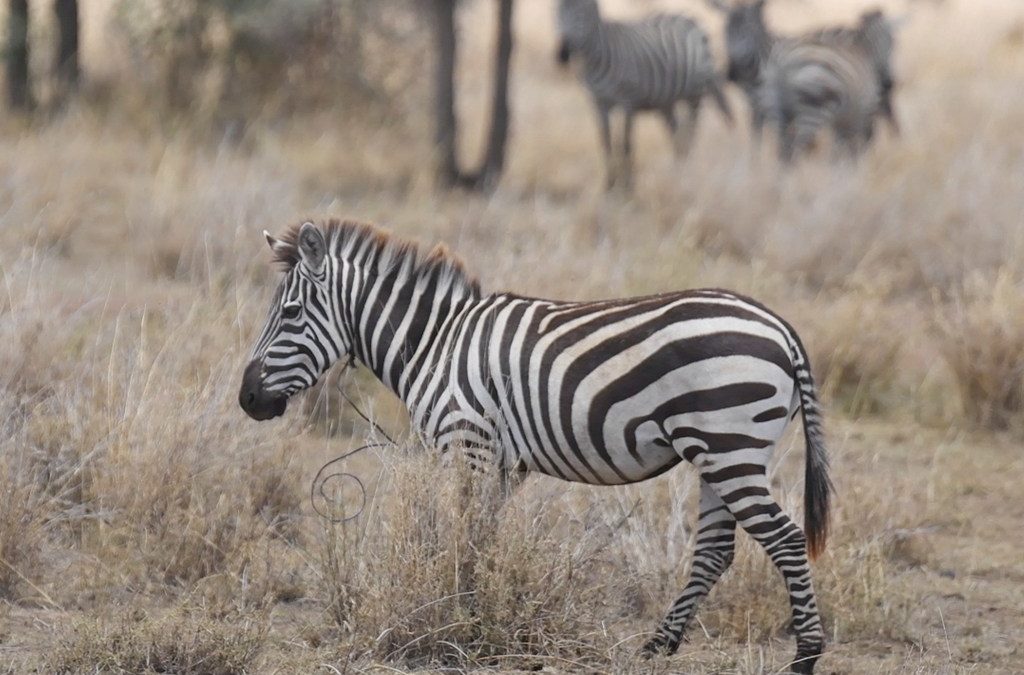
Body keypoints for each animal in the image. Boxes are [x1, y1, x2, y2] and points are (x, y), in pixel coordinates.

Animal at [243, 219, 835, 671]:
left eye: (290, 314)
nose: (248, 399)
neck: (435, 343)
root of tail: (780, 327)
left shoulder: (467, 443)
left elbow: (463, 536)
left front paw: (461, 617)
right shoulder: (504, 463)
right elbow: (482, 538)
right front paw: (477, 611)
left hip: (728, 446)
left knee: (785, 539)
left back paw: (805, 655)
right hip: (717, 453)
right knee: (715, 549)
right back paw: (657, 646)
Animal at [557, 0, 733, 188]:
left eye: (583, 12)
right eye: (558, 11)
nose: (563, 54)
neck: (593, 60)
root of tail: (688, 18)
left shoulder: (628, 102)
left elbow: (626, 144)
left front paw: (627, 186)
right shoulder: (598, 103)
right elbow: (606, 143)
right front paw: (609, 184)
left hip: (695, 94)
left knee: (690, 133)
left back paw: (687, 174)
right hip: (666, 101)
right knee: (676, 133)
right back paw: (677, 171)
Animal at [708, 0, 901, 153]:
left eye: (749, 30)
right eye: (725, 31)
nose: (731, 74)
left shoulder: (767, 106)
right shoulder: (757, 107)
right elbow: (756, 141)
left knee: (875, 122)